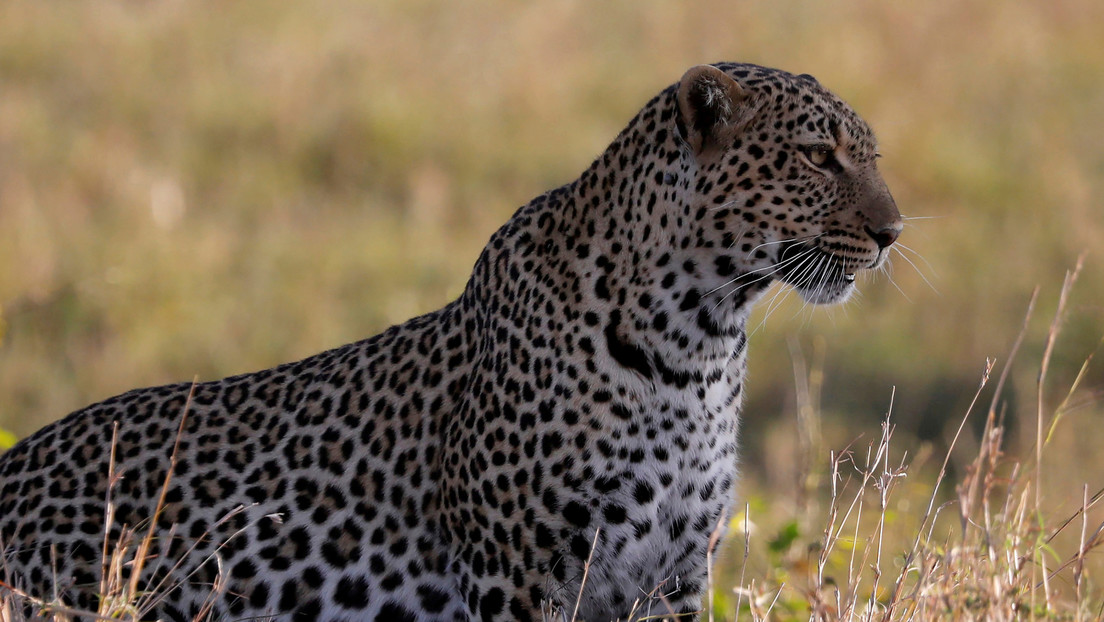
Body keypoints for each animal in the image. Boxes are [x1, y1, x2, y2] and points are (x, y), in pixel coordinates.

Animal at [0, 64, 896, 622]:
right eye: (818, 157)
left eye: (868, 156)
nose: (892, 233)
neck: (696, 341)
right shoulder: (520, 571)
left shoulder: (673, 571)